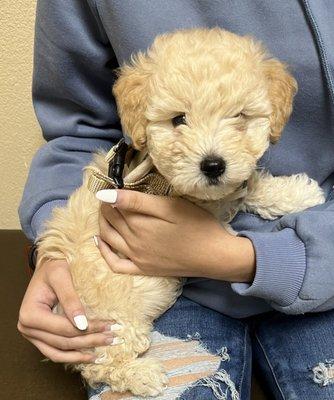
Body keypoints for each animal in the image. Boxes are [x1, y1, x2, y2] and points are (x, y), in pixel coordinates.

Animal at [35, 28, 324, 396]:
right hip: (110, 324)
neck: (159, 176)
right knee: (100, 365)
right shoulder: (204, 199)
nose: (213, 165)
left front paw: (297, 192)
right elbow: (243, 191)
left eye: (239, 117)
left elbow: (246, 183)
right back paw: (142, 374)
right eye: (178, 119)